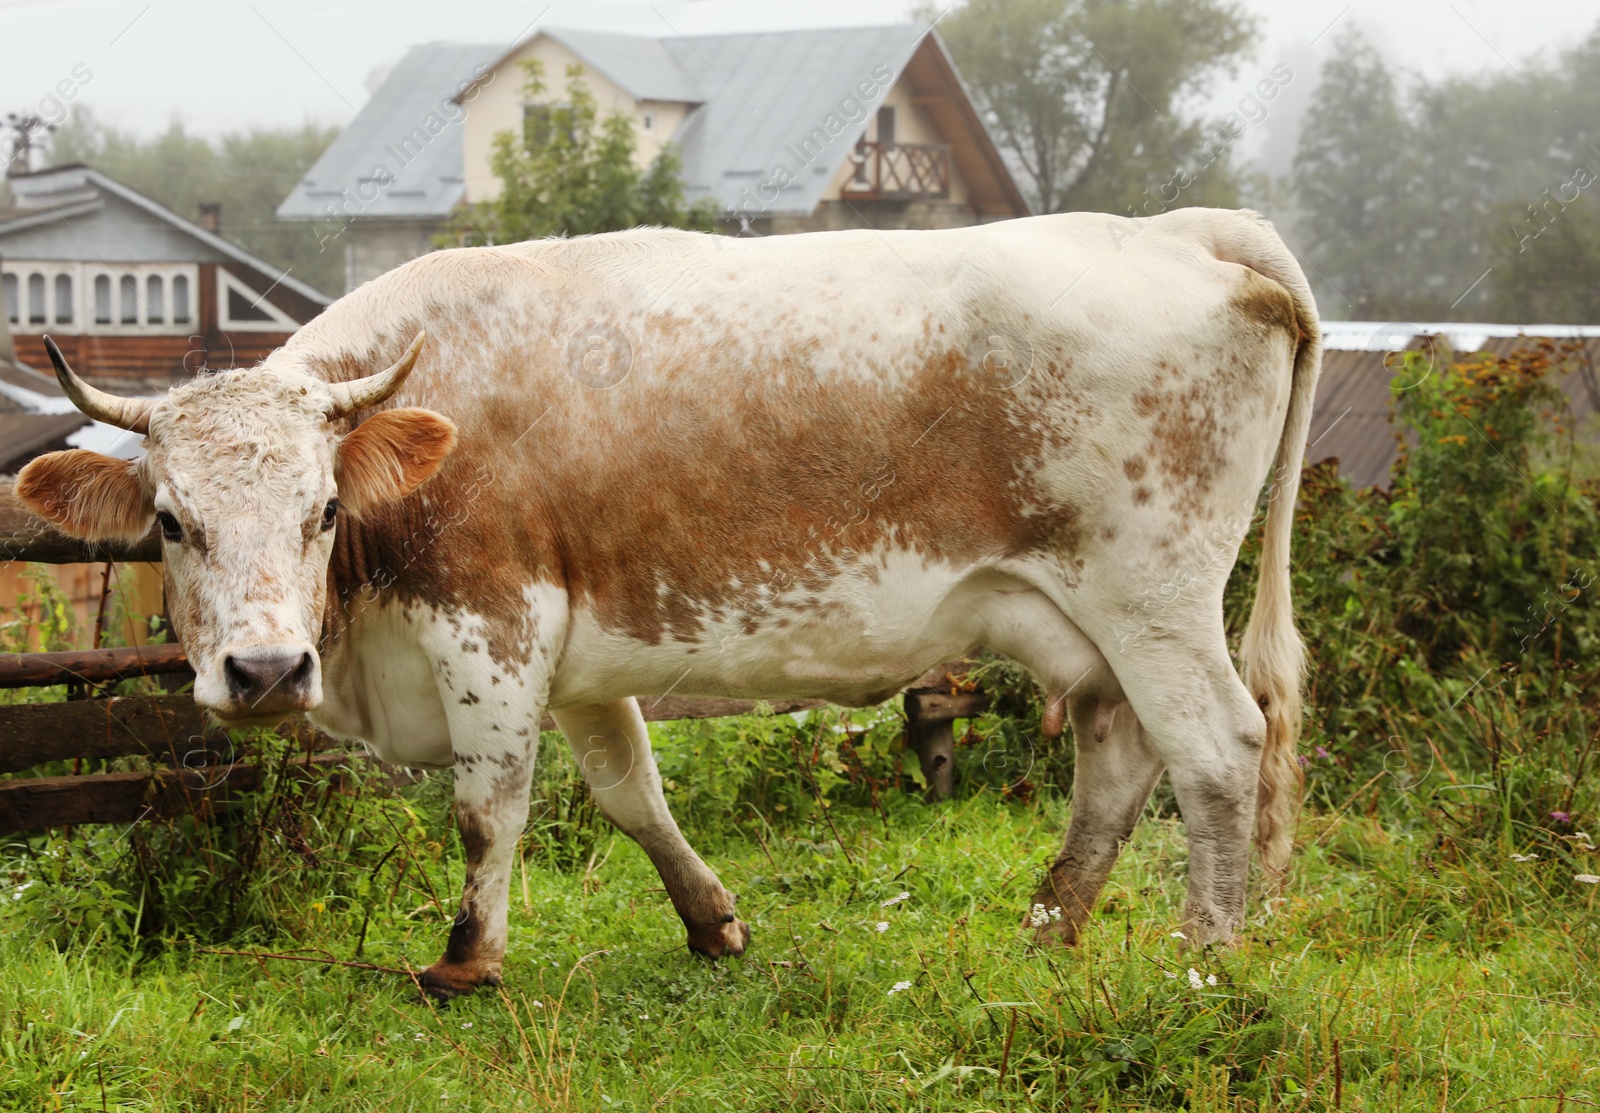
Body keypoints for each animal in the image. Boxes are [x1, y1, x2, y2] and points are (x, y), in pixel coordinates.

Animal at [12, 206, 1318, 997]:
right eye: (171, 522)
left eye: (322, 512)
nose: (268, 672)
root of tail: (1188, 229)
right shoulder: (578, 654)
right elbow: (626, 790)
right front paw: (711, 921)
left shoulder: (493, 624)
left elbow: (489, 806)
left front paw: (468, 962)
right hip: (1088, 621)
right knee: (1117, 754)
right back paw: (1050, 925)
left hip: (1151, 596)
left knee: (1217, 746)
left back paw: (1204, 955)